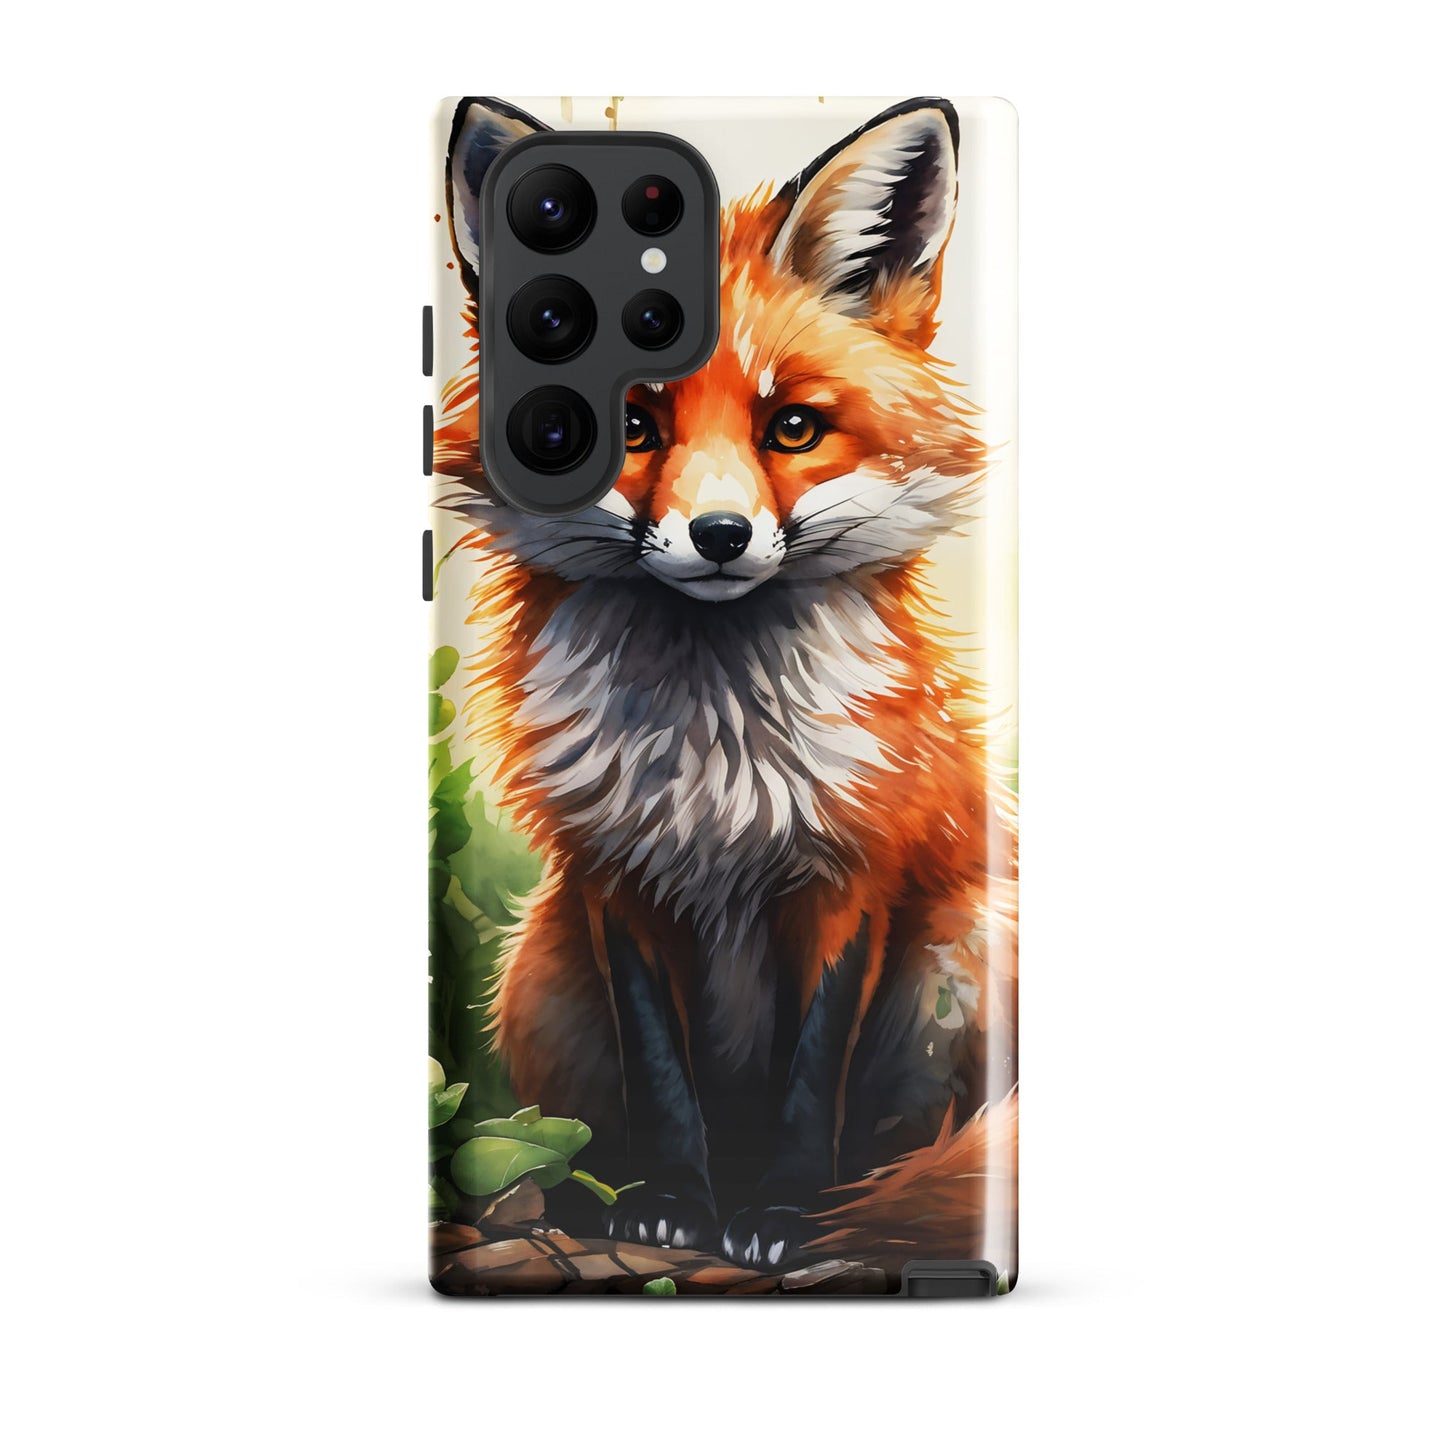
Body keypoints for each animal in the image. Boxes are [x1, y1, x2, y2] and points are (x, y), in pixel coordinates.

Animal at [435, 96, 1018, 1272]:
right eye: (629, 426)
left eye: (790, 425)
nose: (717, 535)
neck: (717, 761)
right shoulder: (614, 876)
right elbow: (663, 1076)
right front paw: (669, 1201)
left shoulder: (852, 873)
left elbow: (810, 1075)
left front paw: (784, 1214)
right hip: (537, 965)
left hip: (967, 944)